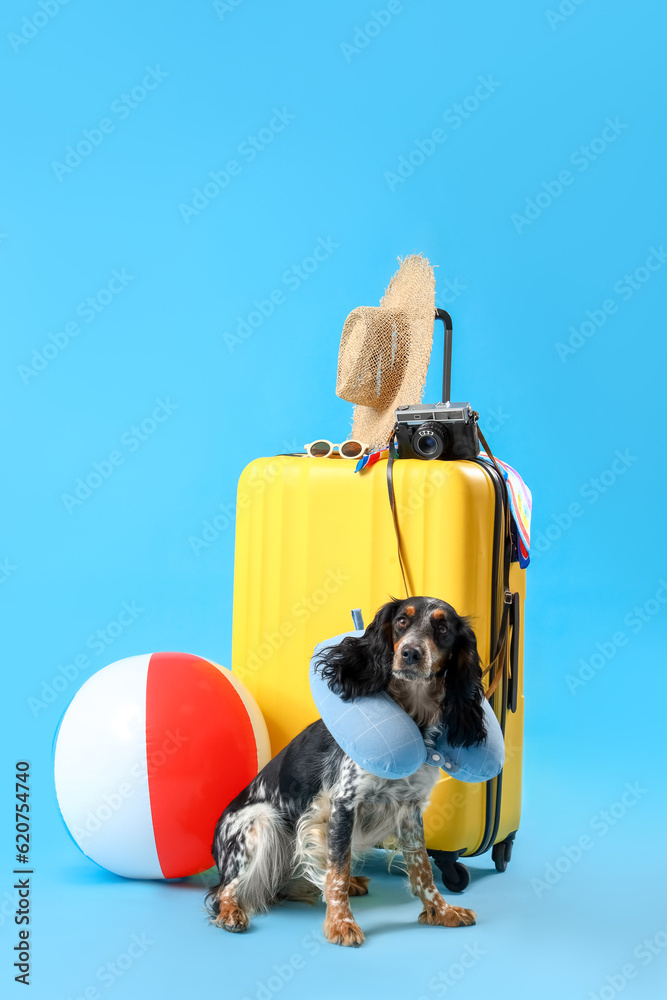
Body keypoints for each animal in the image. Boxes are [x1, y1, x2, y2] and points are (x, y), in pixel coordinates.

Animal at [206, 596, 488, 948]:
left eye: (443, 628)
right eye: (401, 621)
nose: (411, 653)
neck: (414, 716)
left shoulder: (410, 810)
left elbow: (422, 867)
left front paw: (441, 911)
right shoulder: (343, 803)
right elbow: (338, 869)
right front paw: (340, 923)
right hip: (261, 823)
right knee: (224, 889)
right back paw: (231, 912)